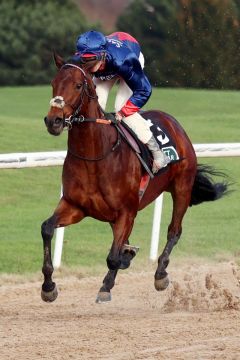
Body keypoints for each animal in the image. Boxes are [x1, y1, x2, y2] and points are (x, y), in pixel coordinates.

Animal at [41, 52, 229, 302]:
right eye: (53, 84)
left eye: (78, 85)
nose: (54, 121)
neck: (95, 157)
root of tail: (172, 122)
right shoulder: (75, 205)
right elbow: (47, 228)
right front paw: (48, 287)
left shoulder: (127, 211)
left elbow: (113, 256)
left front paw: (106, 285)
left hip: (182, 187)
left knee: (174, 231)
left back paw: (160, 273)